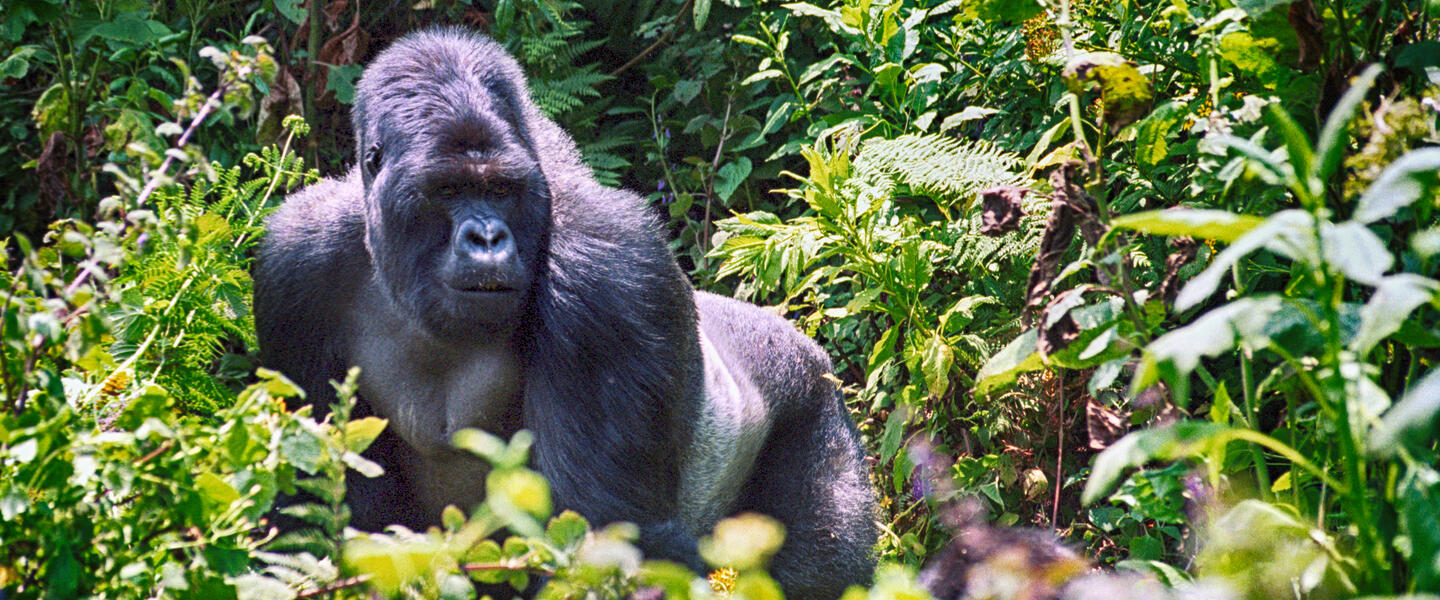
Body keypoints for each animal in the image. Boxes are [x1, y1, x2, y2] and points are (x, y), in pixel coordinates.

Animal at [256, 26, 875, 592]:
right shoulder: (295, 264)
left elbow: (602, 536)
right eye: (448, 190)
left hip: (817, 405)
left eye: (501, 190)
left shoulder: (608, 274)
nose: (487, 238)